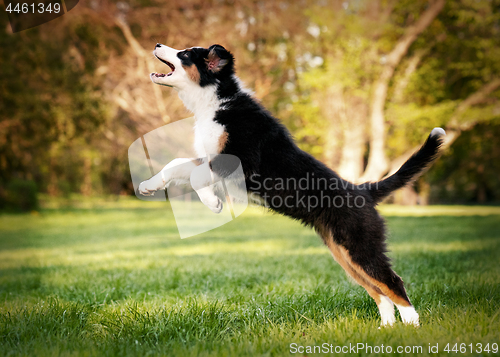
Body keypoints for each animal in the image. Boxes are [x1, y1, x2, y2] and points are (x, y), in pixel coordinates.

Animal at [138, 43, 446, 326]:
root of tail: (364, 190)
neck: (215, 101)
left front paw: (212, 203)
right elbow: (177, 164)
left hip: (361, 245)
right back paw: (386, 328)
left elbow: (194, 175)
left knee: (392, 281)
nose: (157, 44)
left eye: (186, 54)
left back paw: (411, 327)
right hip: (343, 252)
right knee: (378, 290)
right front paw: (149, 185)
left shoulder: (239, 161)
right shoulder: (210, 157)